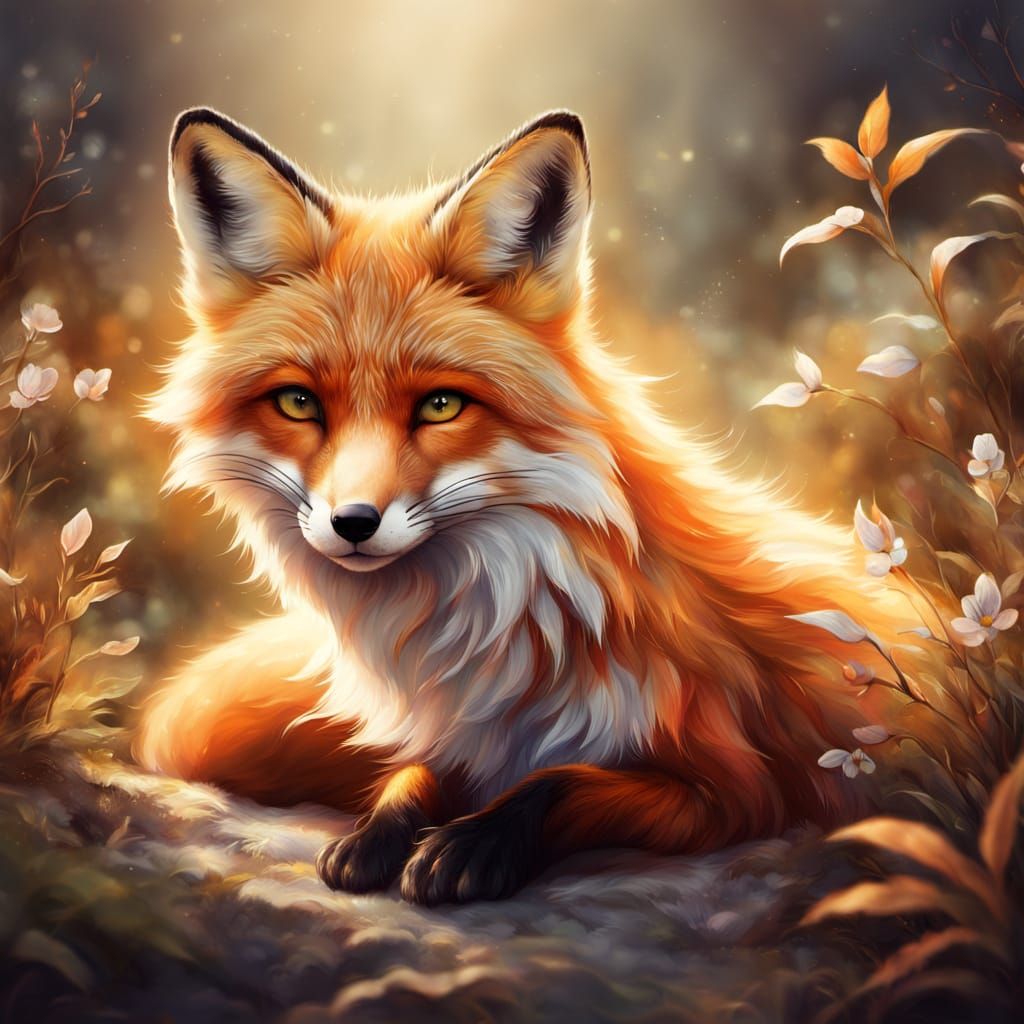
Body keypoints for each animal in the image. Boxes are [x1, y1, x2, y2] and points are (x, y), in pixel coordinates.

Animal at [137, 106, 952, 905]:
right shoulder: (459, 738)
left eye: (440, 405)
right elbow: (410, 774)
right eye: (299, 402)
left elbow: (559, 785)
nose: (353, 524)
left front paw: (473, 845)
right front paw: (381, 830)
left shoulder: (735, 786)